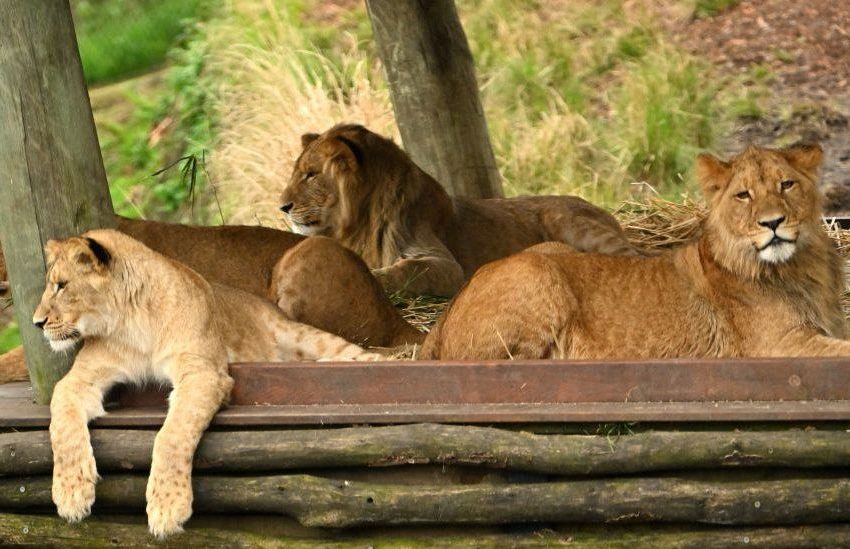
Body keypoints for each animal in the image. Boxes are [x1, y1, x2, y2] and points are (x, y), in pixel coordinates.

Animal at [37, 229, 384, 536]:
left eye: (61, 286)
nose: (36, 323)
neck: (130, 323)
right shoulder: (81, 378)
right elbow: (61, 422)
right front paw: (70, 492)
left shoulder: (202, 371)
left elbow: (172, 434)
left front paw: (167, 506)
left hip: (302, 335)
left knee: (361, 354)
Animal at [278, 123, 636, 298]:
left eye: (311, 174)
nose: (282, 206)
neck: (362, 221)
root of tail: (603, 209)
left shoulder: (449, 267)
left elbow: (406, 270)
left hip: (569, 220)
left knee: (634, 257)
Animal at [422, 143, 848, 362]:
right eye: (743, 195)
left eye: (787, 184)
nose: (773, 223)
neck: (799, 266)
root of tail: (441, 320)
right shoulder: (775, 346)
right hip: (537, 276)